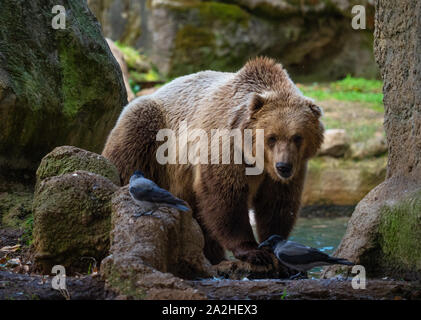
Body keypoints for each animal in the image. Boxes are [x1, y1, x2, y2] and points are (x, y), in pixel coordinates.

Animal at [102, 57, 324, 264]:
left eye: (297, 137)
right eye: (272, 137)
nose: (283, 167)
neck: (256, 158)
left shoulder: (291, 169)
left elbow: (277, 203)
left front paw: (274, 246)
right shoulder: (226, 145)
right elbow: (225, 194)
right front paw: (252, 251)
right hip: (153, 134)